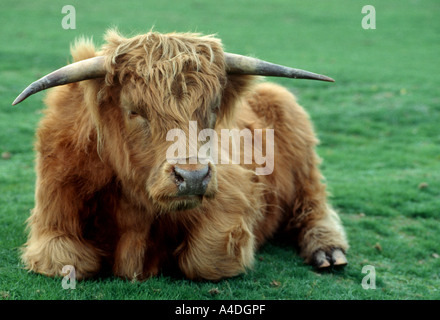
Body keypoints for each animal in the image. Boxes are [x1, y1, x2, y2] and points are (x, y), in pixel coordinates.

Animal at [13, 30, 348, 280]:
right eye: (134, 110)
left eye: (213, 107)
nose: (193, 177)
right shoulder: (53, 222)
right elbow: (67, 262)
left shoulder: (232, 196)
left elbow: (207, 258)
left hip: (303, 157)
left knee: (313, 203)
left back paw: (328, 250)